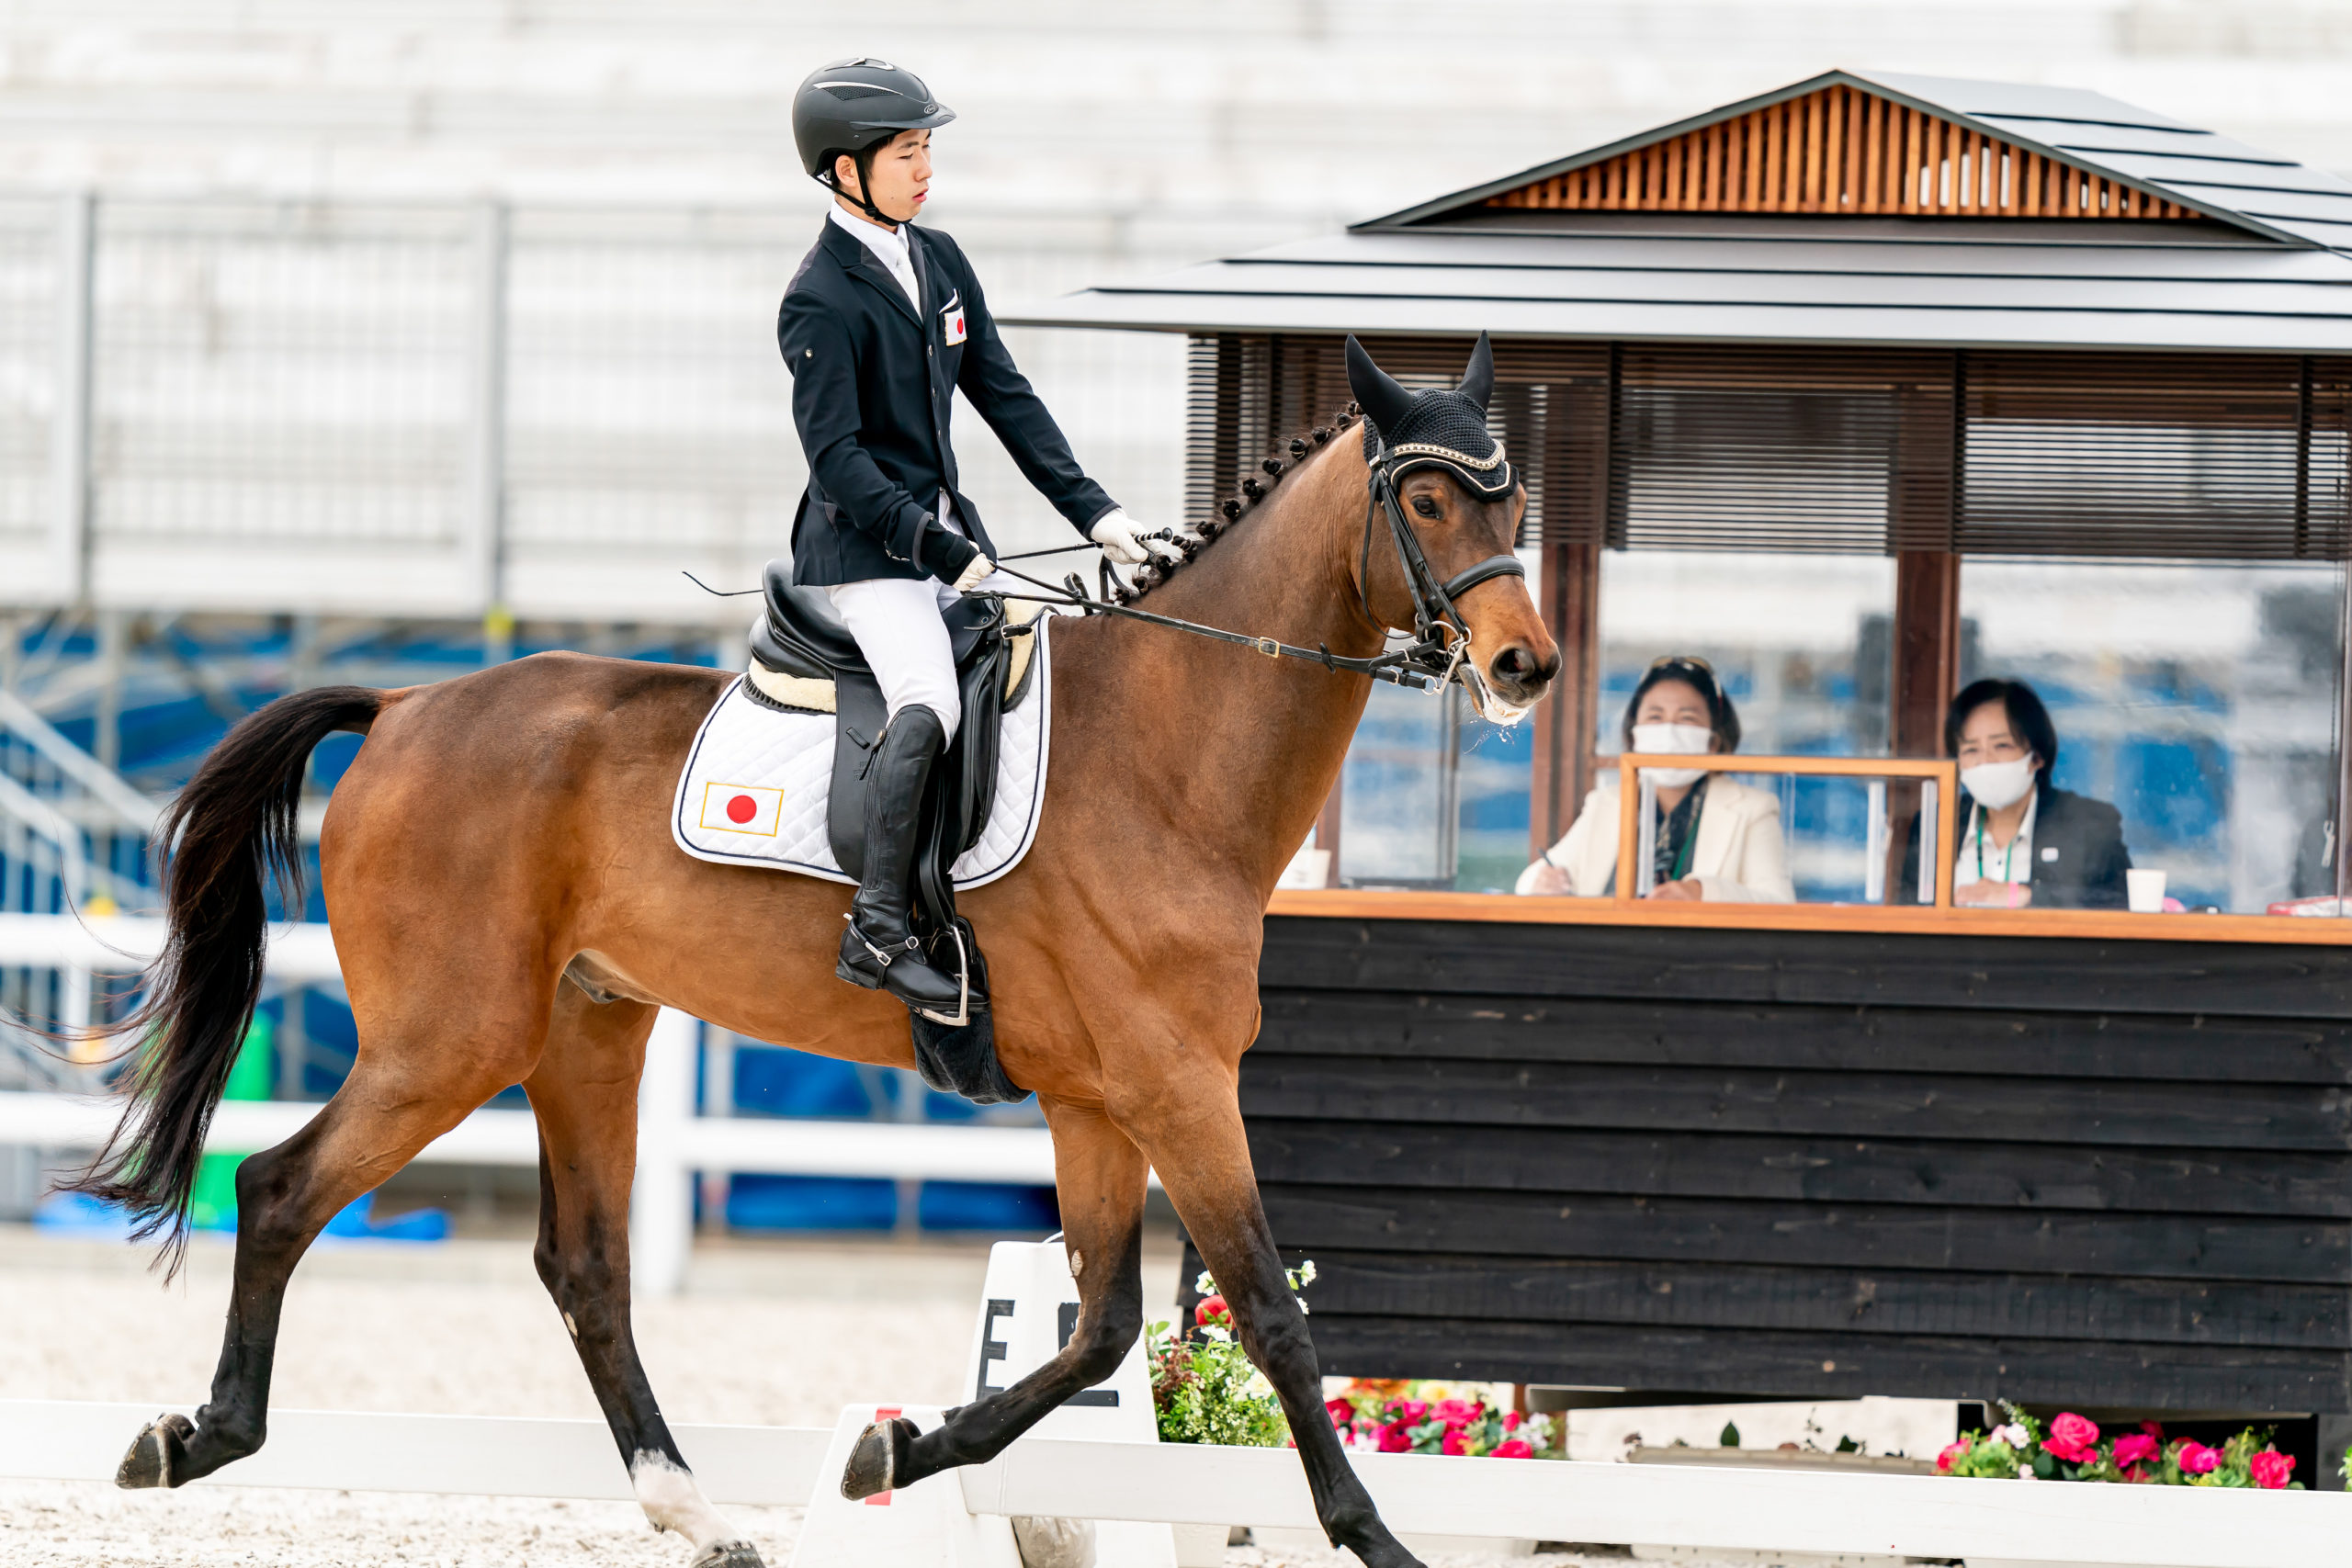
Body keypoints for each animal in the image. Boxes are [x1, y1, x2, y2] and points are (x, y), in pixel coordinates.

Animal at [64, 343, 1552, 1568]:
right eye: (1426, 504)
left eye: (1514, 502)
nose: (1526, 666)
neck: (1171, 752)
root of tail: (406, 701)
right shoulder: (1177, 1086)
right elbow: (1268, 1317)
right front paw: (1379, 1542)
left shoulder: (1098, 1100)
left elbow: (1099, 1326)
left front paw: (898, 1443)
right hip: (451, 1040)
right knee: (277, 1188)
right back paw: (190, 1437)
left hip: (587, 1031)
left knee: (586, 1267)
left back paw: (698, 1514)